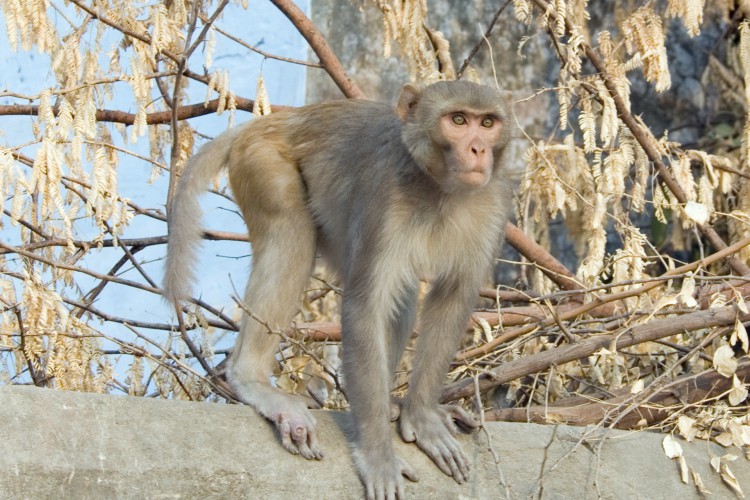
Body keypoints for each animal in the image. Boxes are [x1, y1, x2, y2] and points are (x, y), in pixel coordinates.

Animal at [163, 80, 511, 499]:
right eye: (458, 120)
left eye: (487, 123)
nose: (478, 149)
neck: (439, 187)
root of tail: (271, 121)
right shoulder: (385, 198)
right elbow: (364, 307)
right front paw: (378, 455)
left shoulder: (492, 207)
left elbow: (452, 300)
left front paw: (422, 416)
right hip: (262, 162)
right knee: (291, 239)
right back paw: (253, 381)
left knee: (401, 294)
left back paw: (391, 404)